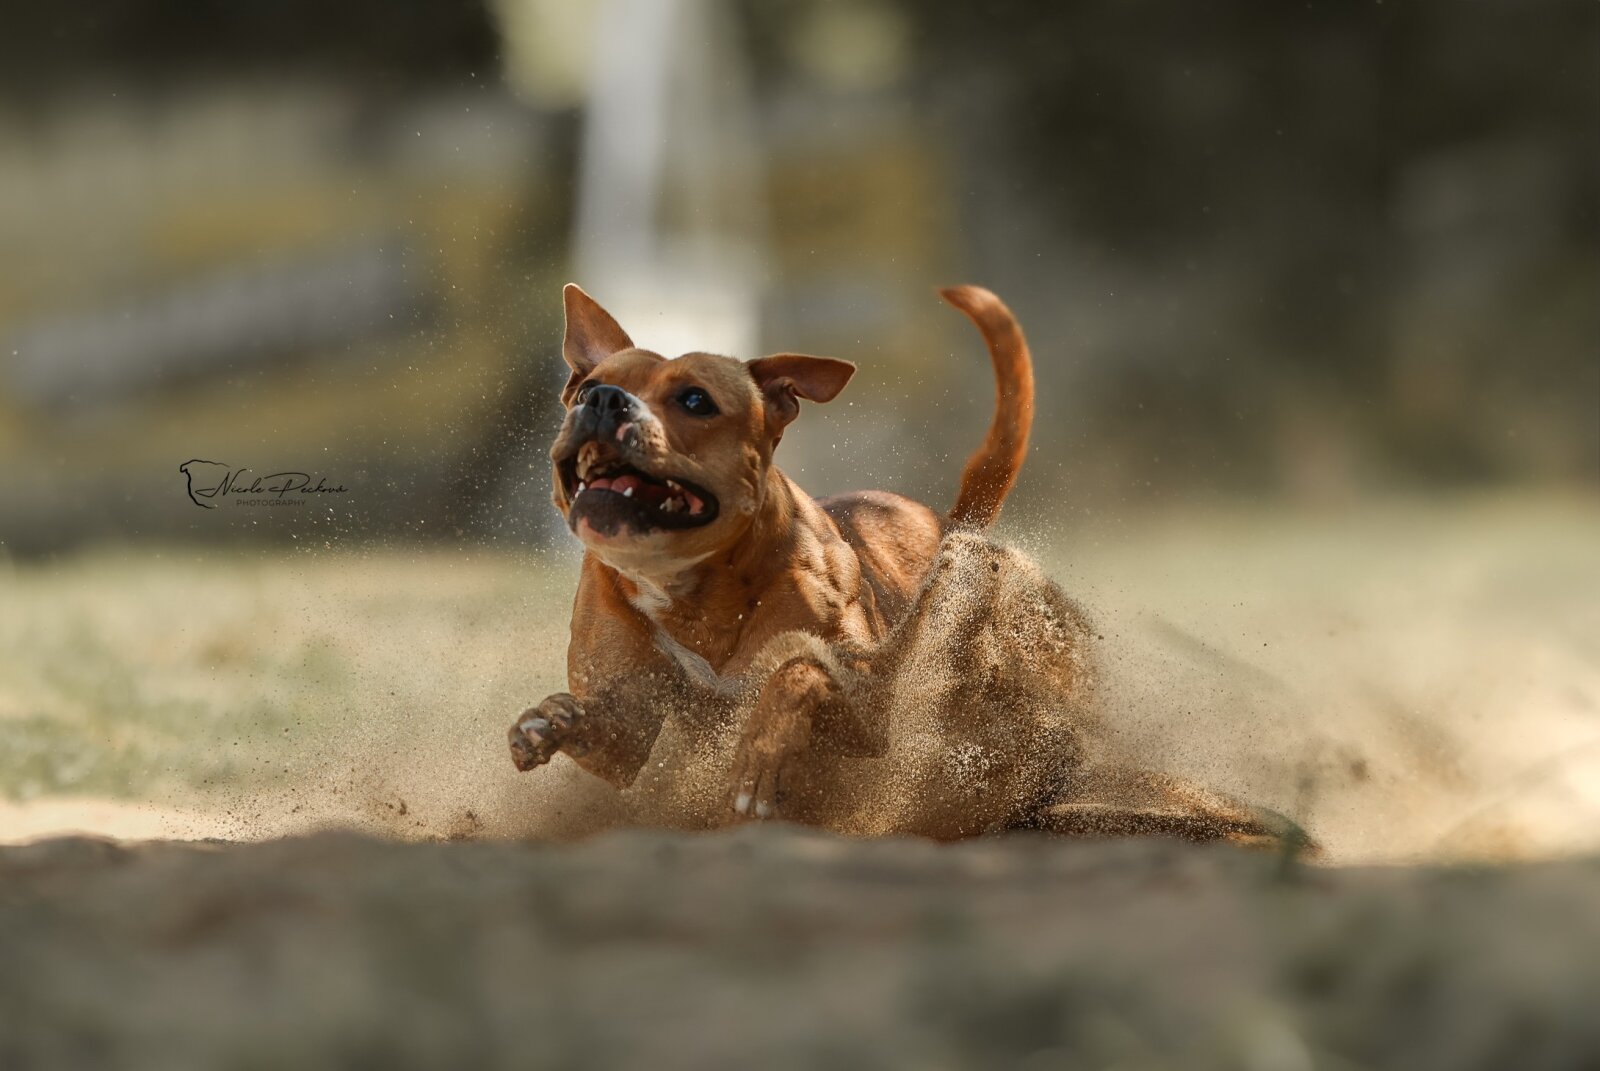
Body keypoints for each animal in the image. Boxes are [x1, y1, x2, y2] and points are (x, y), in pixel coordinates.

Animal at [507, 284, 1297, 845]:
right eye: (586, 388)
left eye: (696, 399)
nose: (603, 399)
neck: (692, 590)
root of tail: (951, 527)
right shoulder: (632, 732)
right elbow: (606, 729)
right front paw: (550, 719)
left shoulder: (868, 707)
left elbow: (797, 675)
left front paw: (759, 754)